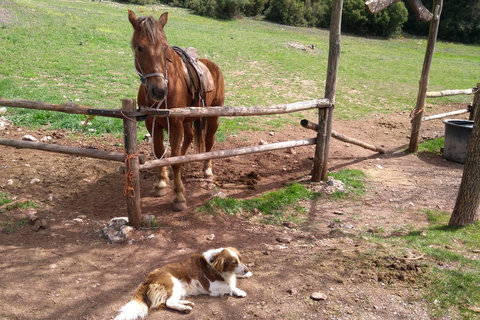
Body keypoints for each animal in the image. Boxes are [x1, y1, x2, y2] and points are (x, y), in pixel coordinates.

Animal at [115, 248, 253, 320]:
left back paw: (186, 304)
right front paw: (239, 291)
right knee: (169, 302)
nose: (246, 269)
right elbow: (231, 285)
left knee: (168, 301)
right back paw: (185, 308)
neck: (213, 263)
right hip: (174, 283)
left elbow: (234, 278)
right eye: (234, 263)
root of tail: (147, 279)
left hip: (179, 288)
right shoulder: (212, 287)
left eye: (240, 260)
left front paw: (248, 274)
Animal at [127, 10, 225, 210]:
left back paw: (207, 169)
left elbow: (175, 160)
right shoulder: (153, 124)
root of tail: (213, 66)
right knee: (189, 138)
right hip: (187, 120)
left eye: (165, 48)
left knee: (209, 142)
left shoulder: (175, 124)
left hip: (213, 116)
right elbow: (160, 154)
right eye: (139, 48)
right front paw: (161, 183)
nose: (159, 90)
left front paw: (179, 196)